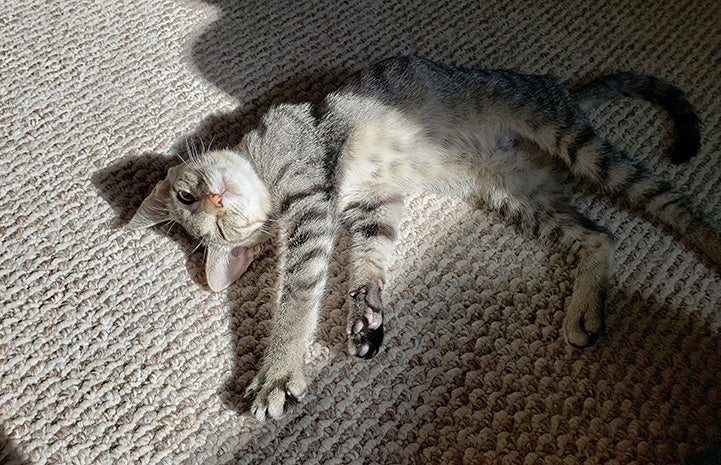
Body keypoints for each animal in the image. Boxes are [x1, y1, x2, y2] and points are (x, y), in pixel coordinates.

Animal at [126, 55, 716, 420]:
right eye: (214, 227)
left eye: (186, 197)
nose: (215, 202)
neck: (263, 168)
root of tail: (560, 90)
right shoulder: (373, 207)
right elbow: (368, 261)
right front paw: (364, 315)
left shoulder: (312, 205)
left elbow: (296, 300)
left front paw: (277, 373)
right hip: (519, 194)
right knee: (600, 234)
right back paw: (584, 310)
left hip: (571, 140)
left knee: (671, 202)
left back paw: (711, 242)